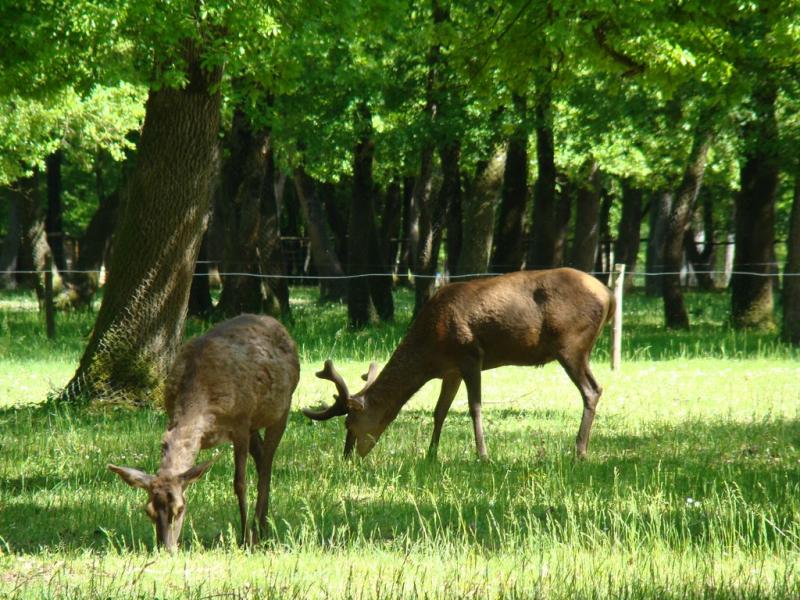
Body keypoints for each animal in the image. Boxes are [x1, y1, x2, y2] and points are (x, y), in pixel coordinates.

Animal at [108, 314, 300, 553]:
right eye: (148, 511)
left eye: (179, 509)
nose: (167, 548)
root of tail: (279, 325)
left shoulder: (241, 421)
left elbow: (240, 483)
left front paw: (245, 539)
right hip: (256, 424)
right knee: (262, 456)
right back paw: (262, 525)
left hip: (281, 409)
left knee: (267, 464)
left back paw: (260, 530)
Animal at [303, 268, 614, 461]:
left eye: (349, 423)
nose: (347, 458)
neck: (430, 349)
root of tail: (609, 295)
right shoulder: (449, 370)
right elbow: (439, 411)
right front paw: (431, 455)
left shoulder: (470, 355)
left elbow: (474, 407)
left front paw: (483, 455)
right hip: (580, 348)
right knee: (596, 388)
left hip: (572, 344)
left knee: (591, 390)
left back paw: (579, 451)